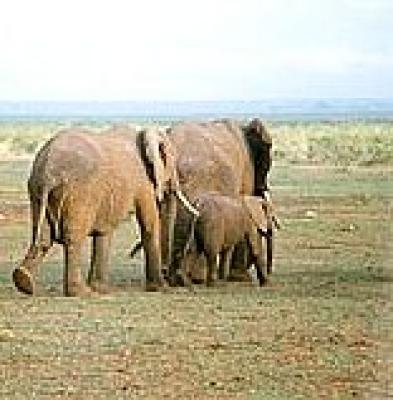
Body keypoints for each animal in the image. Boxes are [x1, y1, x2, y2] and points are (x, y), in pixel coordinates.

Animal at [12, 125, 196, 296]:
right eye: (171, 163)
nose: (166, 272)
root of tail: (49, 170)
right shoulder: (143, 181)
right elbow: (149, 223)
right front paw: (161, 289)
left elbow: (104, 229)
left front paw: (102, 289)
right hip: (79, 192)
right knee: (73, 237)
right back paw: (81, 292)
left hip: (37, 190)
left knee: (43, 236)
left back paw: (24, 282)